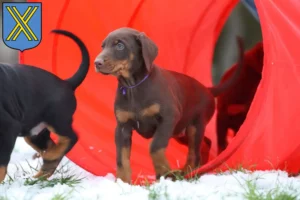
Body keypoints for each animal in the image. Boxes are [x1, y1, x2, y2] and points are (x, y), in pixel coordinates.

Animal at [0, 28, 89, 182]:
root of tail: (66, 83)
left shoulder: (8, 127)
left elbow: (1, 163)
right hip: (34, 132)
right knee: (51, 146)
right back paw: (41, 174)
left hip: (57, 119)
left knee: (71, 138)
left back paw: (49, 158)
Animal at [95, 27, 245, 184]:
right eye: (103, 46)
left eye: (120, 45)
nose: (96, 63)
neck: (133, 86)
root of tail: (208, 90)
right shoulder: (122, 127)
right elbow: (121, 158)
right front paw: (123, 182)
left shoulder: (168, 118)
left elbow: (155, 146)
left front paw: (164, 172)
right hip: (180, 131)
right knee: (205, 144)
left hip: (194, 125)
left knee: (194, 152)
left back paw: (186, 172)